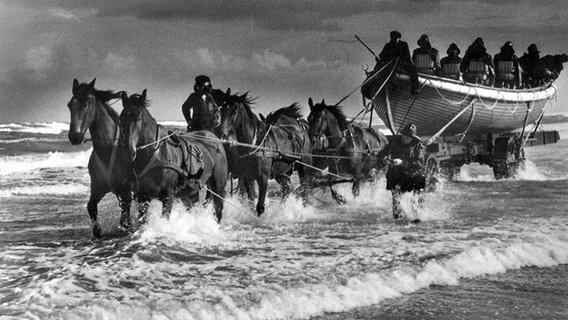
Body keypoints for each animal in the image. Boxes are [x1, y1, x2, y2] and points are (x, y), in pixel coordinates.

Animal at [66, 77, 134, 238]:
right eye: (70, 105)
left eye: (85, 104)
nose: (74, 137)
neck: (107, 151)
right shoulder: (97, 188)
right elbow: (91, 207)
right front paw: (97, 231)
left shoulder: (126, 191)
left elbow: (125, 217)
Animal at [118, 89, 227, 221]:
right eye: (120, 118)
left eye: (138, 118)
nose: (128, 151)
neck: (156, 154)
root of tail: (213, 138)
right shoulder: (143, 198)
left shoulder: (168, 197)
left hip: (218, 186)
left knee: (219, 208)